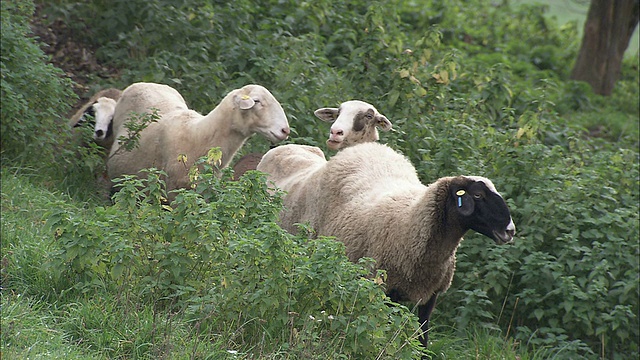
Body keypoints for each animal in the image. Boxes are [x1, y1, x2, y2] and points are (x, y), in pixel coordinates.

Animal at [255, 142, 516, 350]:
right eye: (478, 195)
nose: (510, 230)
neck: (410, 222)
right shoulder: (385, 291)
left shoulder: (430, 295)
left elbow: (422, 337)